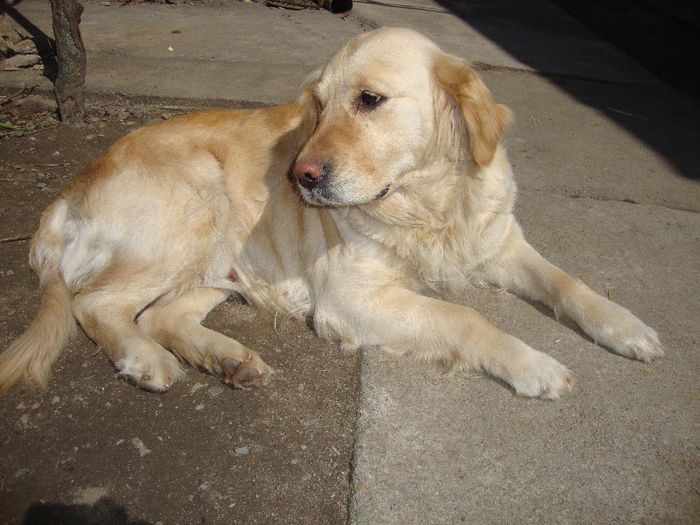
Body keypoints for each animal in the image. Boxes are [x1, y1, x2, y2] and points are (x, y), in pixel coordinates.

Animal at [0, 27, 660, 398]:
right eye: (317, 105)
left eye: (370, 100)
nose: (301, 177)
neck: (428, 202)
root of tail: (68, 191)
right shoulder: (351, 296)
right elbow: (466, 319)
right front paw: (536, 366)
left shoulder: (499, 243)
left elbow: (568, 283)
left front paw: (628, 327)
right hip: (194, 206)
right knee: (95, 303)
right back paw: (145, 361)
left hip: (218, 263)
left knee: (161, 315)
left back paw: (231, 359)